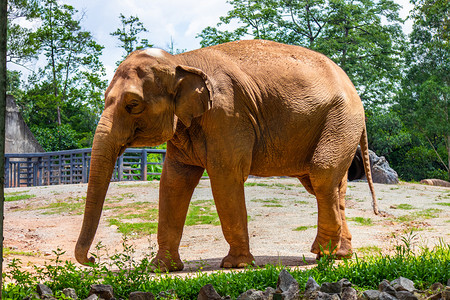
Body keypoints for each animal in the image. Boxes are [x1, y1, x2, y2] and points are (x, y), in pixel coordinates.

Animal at [75, 39, 378, 272]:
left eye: (133, 105)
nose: (93, 260)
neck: (181, 61)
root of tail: (352, 86)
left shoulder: (227, 114)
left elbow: (225, 177)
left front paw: (236, 265)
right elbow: (174, 182)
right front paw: (161, 268)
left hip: (341, 119)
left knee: (322, 176)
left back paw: (323, 254)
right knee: (327, 184)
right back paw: (339, 254)